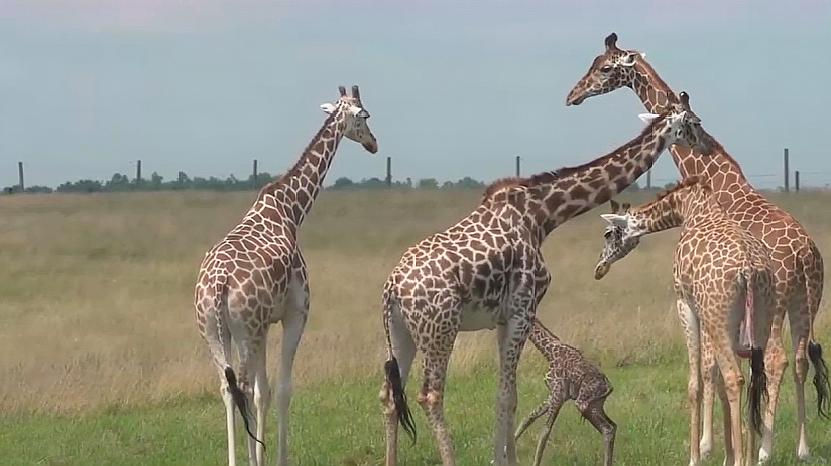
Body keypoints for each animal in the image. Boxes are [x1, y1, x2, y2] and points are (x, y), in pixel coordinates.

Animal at [193, 85, 376, 464]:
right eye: (365, 116)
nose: (373, 144)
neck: (292, 209)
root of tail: (217, 285)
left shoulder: (264, 325)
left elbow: (262, 391)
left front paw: (261, 455)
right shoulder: (295, 313)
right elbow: (282, 389)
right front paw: (275, 457)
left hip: (215, 332)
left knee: (228, 388)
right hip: (244, 331)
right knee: (241, 386)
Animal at [516, 318, 616, 466]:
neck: (549, 351)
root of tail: (608, 387)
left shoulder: (558, 394)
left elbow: (545, 431)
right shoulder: (553, 395)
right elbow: (528, 417)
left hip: (582, 404)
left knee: (607, 429)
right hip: (596, 404)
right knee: (613, 427)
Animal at [596, 178, 776, 466]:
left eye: (608, 234)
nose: (599, 268)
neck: (688, 206)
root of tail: (748, 270)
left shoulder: (686, 304)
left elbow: (696, 384)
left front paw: (695, 457)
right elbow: (715, 379)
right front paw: (726, 454)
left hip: (718, 318)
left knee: (734, 378)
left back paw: (739, 460)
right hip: (760, 318)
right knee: (753, 378)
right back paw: (747, 457)